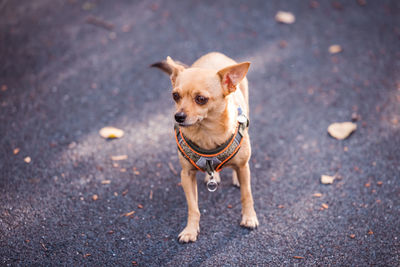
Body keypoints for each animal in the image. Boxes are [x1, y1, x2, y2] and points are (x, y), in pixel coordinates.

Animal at [152, 51, 258, 243]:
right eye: (175, 96)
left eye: (201, 99)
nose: (178, 116)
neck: (207, 134)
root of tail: (215, 54)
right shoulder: (186, 175)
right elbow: (193, 207)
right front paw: (190, 230)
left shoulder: (243, 168)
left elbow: (247, 195)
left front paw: (249, 218)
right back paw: (212, 175)